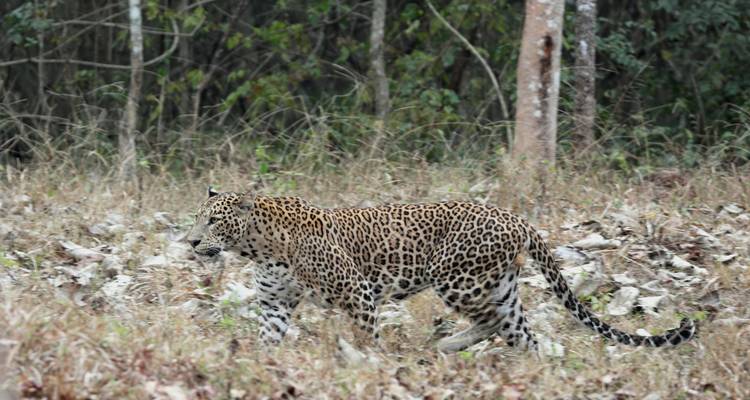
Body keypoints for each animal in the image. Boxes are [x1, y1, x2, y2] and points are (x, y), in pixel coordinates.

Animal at [186, 188, 697, 353]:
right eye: (197, 217)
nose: (190, 241)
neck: (258, 247)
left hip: (457, 280)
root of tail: (517, 218)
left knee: (492, 323)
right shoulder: (275, 303)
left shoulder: (356, 291)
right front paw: (256, 363)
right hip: (498, 286)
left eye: (212, 220)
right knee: (519, 332)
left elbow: (366, 336)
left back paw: (446, 345)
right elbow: (266, 339)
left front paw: (369, 363)